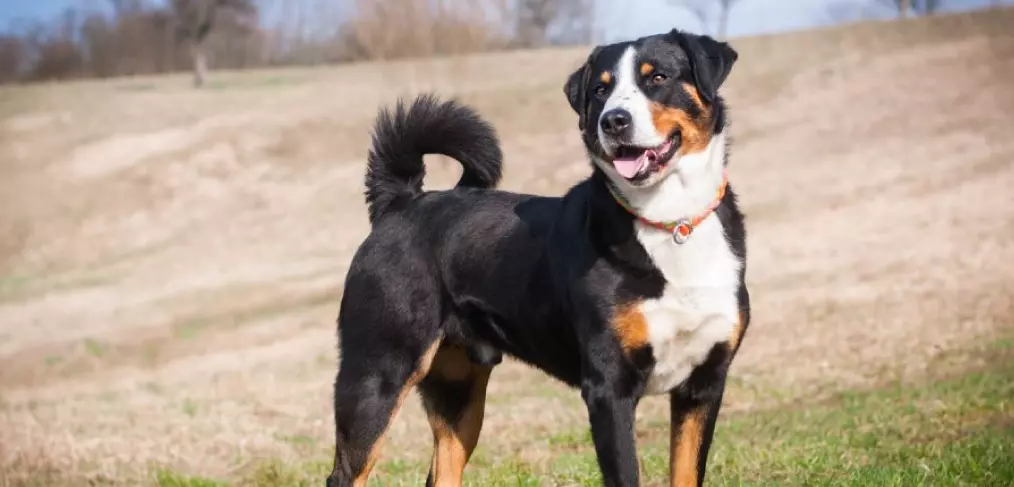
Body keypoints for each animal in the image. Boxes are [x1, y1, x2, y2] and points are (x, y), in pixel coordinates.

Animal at [328, 28, 750, 484]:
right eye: (600, 90)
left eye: (657, 78)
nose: (613, 120)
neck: (670, 221)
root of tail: (401, 202)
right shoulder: (609, 388)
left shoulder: (703, 386)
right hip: (376, 376)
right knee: (346, 473)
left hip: (458, 395)